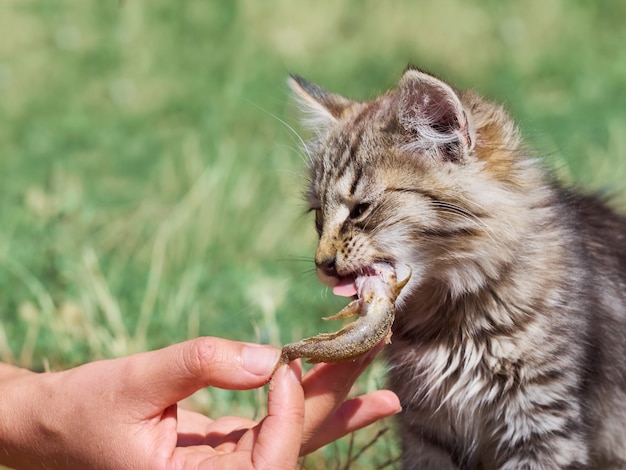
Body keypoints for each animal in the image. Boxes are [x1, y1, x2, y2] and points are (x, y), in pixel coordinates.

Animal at [290, 67, 624, 470]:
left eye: (360, 209)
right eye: (318, 217)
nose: (322, 263)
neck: (448, 326)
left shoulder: (542, 423)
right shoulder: (426, 433)